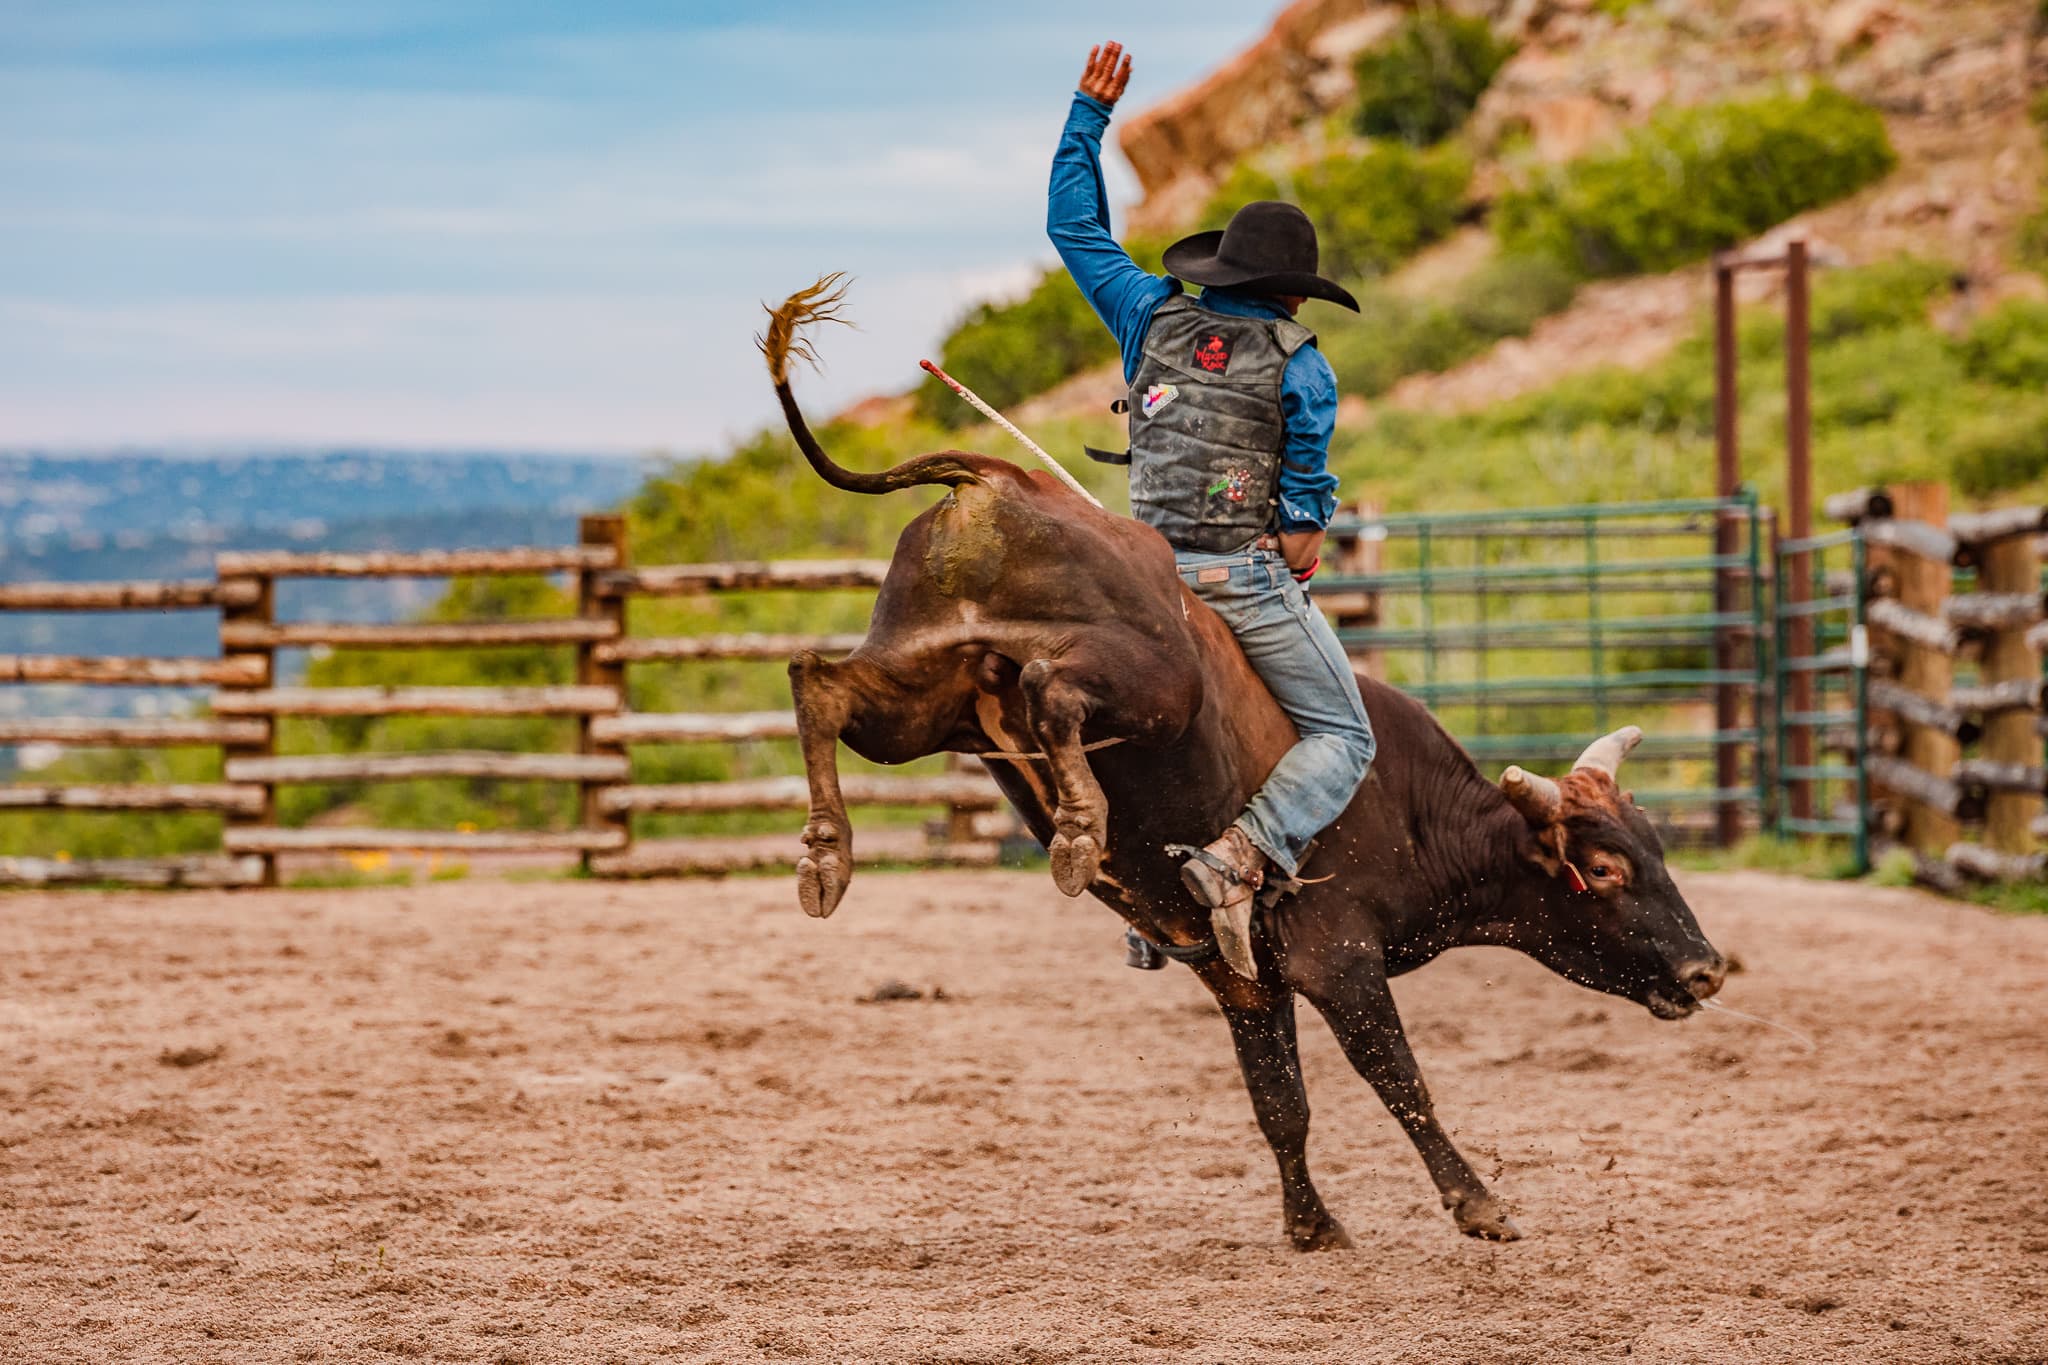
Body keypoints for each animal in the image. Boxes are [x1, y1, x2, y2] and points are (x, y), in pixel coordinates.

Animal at [765, 278, 1727, 1248]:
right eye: (1604, 867)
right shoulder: (1338, 957)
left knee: (820, 683)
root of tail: (995, 480)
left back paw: (827, 854)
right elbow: (1400, 1083)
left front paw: (1311, 1225)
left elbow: (1280, 1104)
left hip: (926, 691)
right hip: (1149, 680)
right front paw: (1478, 1202)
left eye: (1657, 851)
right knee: (1047, 688)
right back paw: (1076, 830)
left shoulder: (1245, 982)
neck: (1418, 812)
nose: (1707, 970)